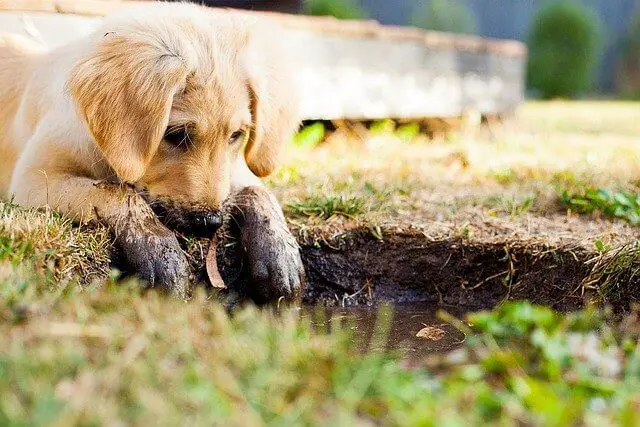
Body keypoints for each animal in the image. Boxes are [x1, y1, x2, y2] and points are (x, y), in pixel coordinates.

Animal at [0, 4, 304, 304]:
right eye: (177, 135)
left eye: (235, 136)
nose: (210, 224)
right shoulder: (32, 179)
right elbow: (115, 191)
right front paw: (158, 249)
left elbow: (257, 190)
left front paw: (280, 254)